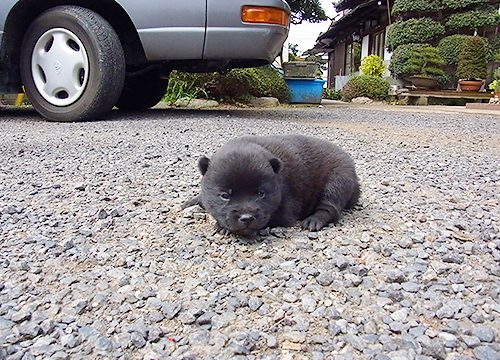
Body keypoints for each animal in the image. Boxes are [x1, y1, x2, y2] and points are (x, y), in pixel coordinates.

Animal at [184, 136, 360, 236]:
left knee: (330, 208)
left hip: (338, 181)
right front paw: (193, 201)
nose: (247, 218)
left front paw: (221, 226)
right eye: (225, 196)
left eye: (261, 193)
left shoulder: (284, 213)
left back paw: (314, 220)